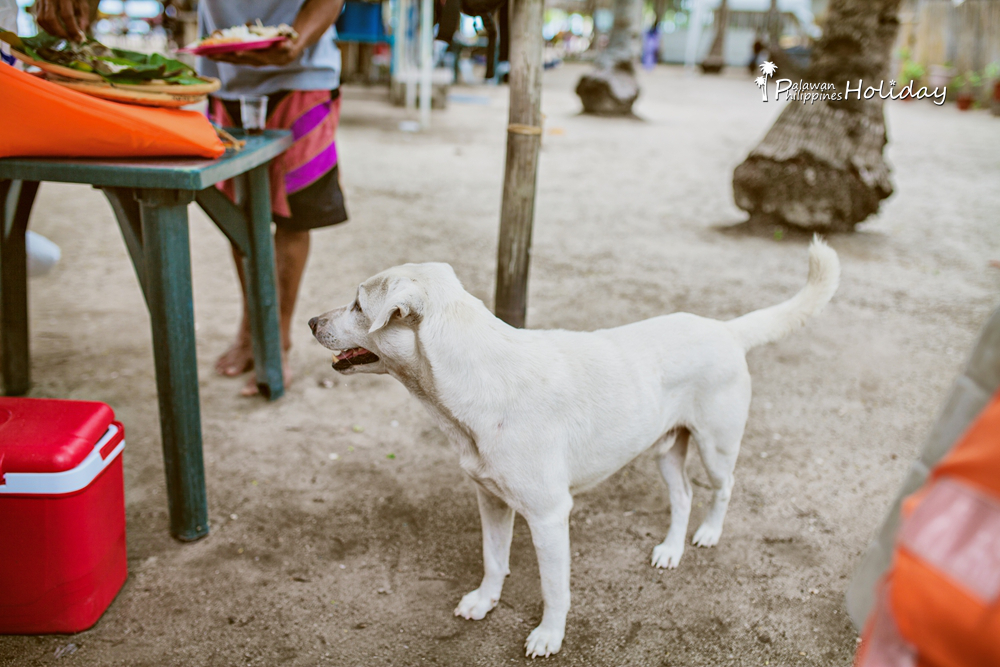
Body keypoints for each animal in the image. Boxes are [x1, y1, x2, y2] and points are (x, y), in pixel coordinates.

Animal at [310, 239, 836, 656]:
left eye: (358, 304)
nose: (312, 321)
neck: (479, 376)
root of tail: (725, 329)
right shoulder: (491, 500)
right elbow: (493, 559)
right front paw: (484, 601)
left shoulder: (548, 516)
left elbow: (554, 589)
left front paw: (549, 636)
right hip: (666, 451)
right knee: (683, 495)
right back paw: (670, 550)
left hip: (716, 447)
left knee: (724, 488)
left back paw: (708, 533)